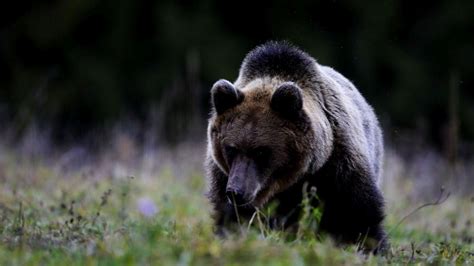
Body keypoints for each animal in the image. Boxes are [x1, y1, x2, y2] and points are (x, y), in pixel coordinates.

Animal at [206, 41, 386, 251]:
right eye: (230, 148)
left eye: (261, 151)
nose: (236, 192)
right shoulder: (222, 175)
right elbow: (230, 218)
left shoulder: (339, 167)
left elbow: (357, 216)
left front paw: (370, 247)